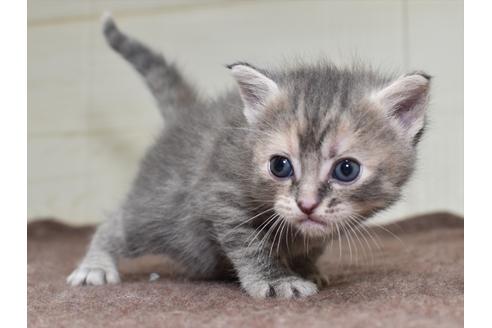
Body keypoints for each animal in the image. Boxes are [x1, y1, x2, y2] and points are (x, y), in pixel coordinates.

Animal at [66, 16, 430, 300]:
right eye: (280, 166)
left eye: (346, 169)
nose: (307, 204)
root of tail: (186, 117)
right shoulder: (220, 196)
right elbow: (251, 244)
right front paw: (276, 279)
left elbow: (313, 245)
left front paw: (307, 268)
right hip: (163, 213)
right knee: (119, 224)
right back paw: (95, 265)